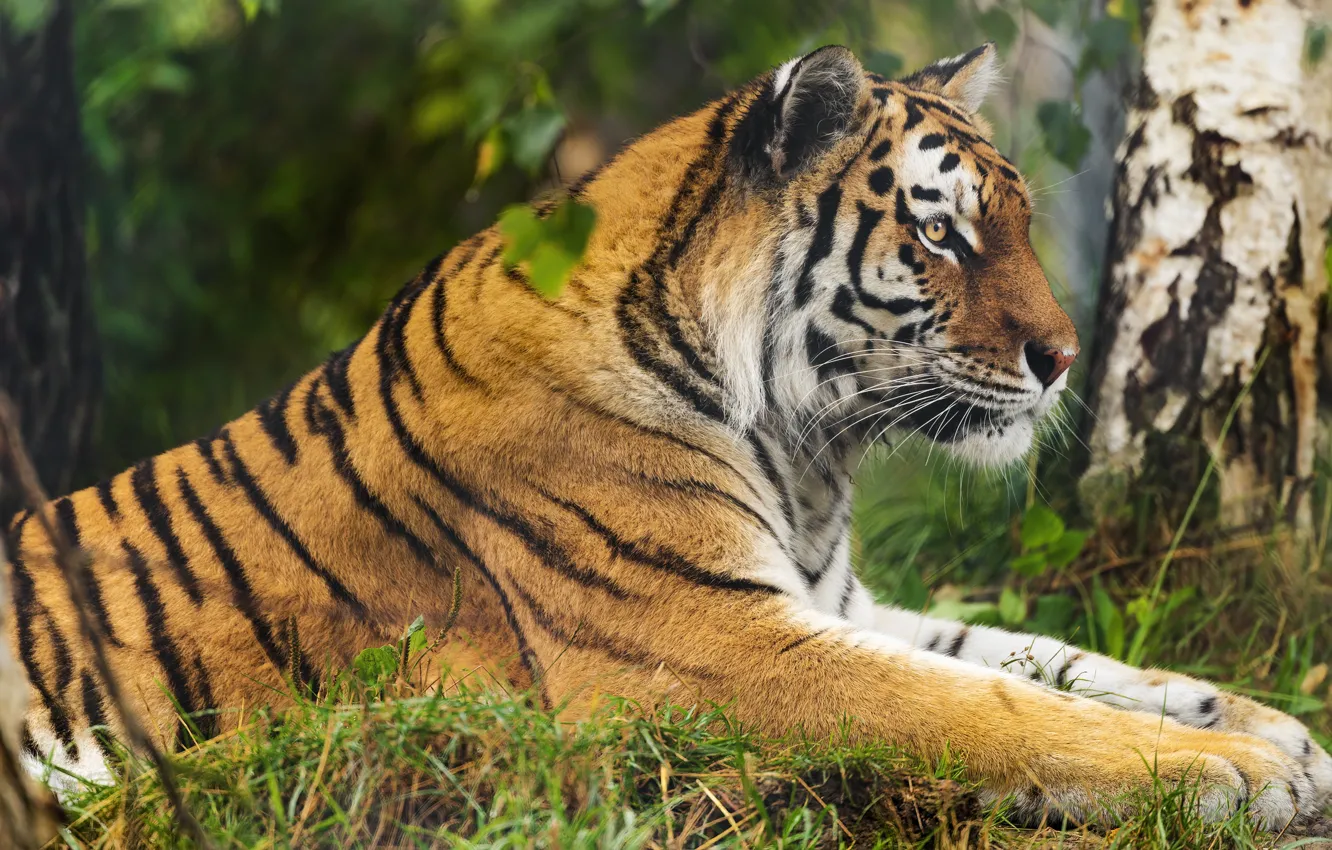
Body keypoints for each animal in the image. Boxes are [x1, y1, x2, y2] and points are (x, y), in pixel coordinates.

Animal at [6, 42, 1331, 829]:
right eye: (942, 232)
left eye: (1006, 220)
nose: (1060, 359)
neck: (809, 451)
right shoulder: (718, 643)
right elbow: (991, 707)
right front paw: (1235, 774)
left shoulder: (830, 599)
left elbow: (1053, 659)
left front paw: (1274, 728)